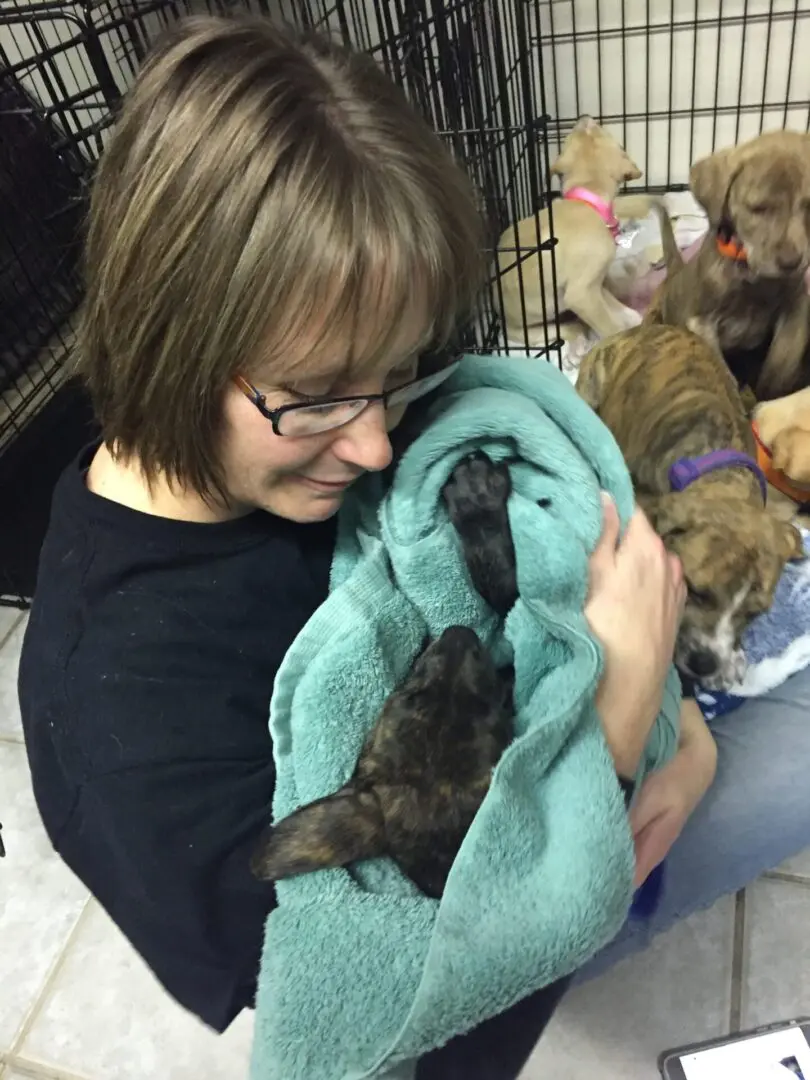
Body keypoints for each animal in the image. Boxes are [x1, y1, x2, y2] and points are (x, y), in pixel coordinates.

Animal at [648, 129, 810, 401]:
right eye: (758, 208)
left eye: (809, 206)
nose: (792, 263)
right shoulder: (702, 322)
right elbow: (722, 370)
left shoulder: (796, 307)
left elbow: (782, 358)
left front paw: (769, 389)